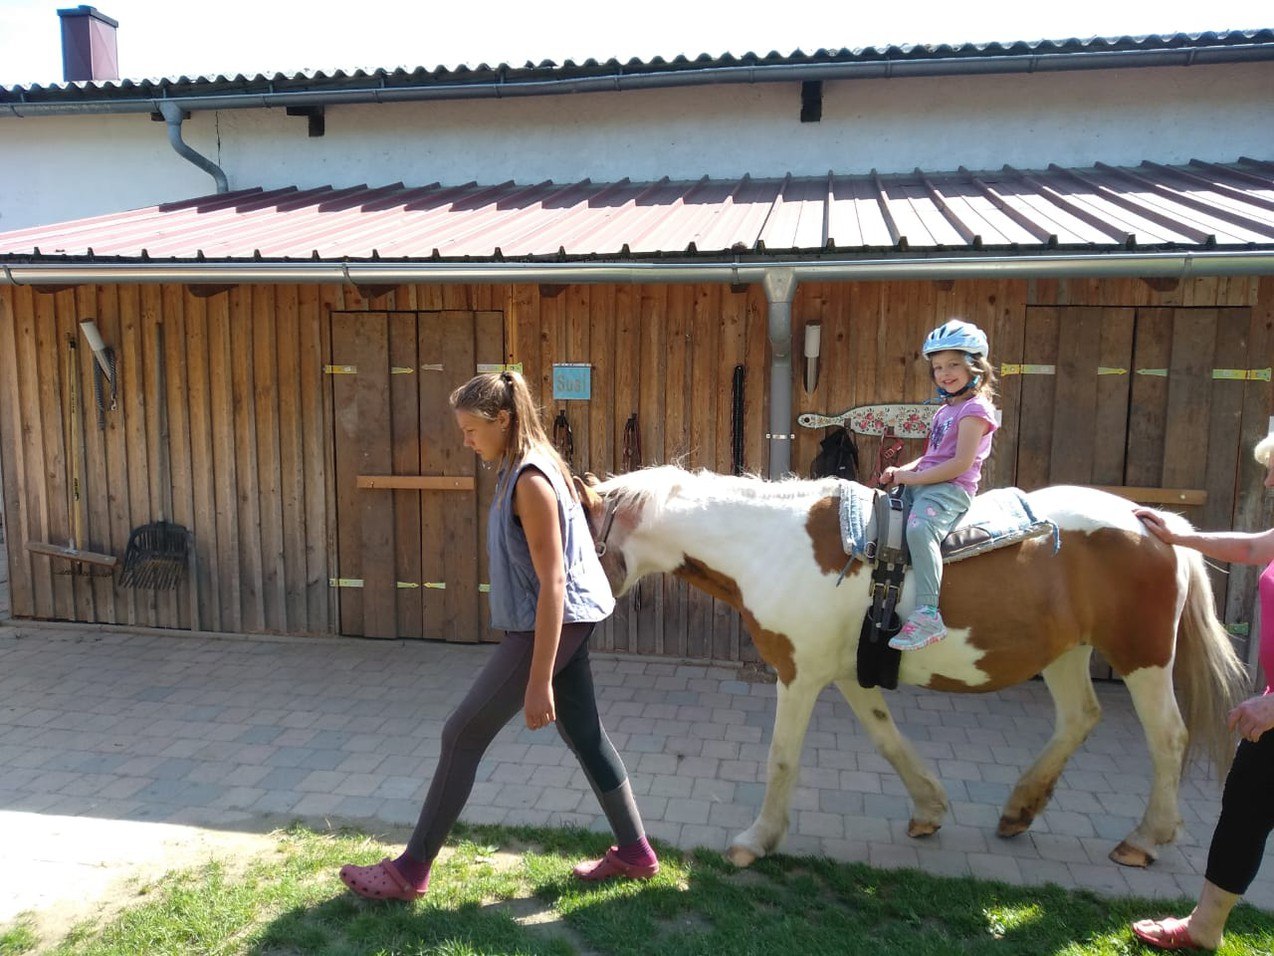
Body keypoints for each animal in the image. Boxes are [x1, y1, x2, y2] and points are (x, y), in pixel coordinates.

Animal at [580, 469, 1253, 871]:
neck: (771, 544)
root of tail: (1152, 523)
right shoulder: (848, 674)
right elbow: (888, 740)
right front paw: (929, 810)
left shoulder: (798, 674)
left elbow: (782, 758)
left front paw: (757, 839)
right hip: (1066, 652)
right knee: (1080, 718)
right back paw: (1019, 810)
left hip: (1143, 659)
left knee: (1168, 738)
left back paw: (1145, 838)